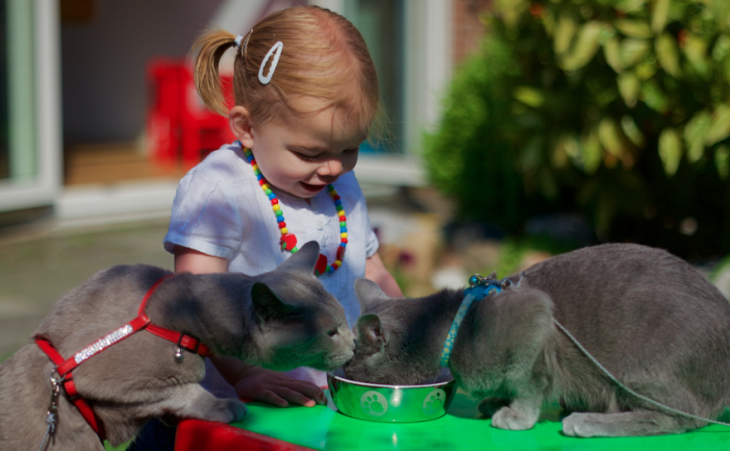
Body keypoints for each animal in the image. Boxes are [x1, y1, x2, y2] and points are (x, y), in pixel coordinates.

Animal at [0, 244, 354, 451]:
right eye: (331, 332)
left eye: (344, 323)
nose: (354, 343)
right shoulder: (97, 377)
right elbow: (183, 388)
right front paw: (225, 406)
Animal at [344, 244, 728, 438]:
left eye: (350, 362)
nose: (342, 369)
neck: (456, 323)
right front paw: (495, 401)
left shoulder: (536, 321)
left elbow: (530, 383)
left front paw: (515, 414)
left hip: (639, 369)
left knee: (676, 418)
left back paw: (585, 422)